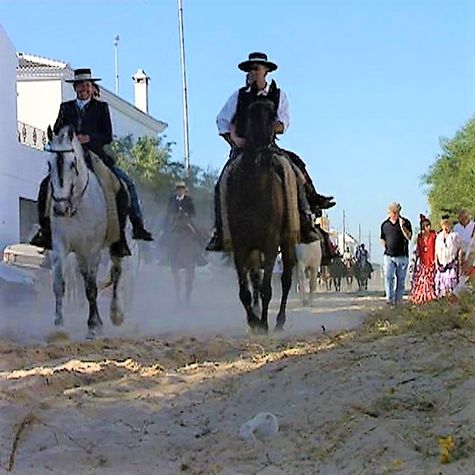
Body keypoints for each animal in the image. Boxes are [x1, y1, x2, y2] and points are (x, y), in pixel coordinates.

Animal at [46, 123, 124, 338]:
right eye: (49, 165)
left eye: (73, 164)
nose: (59, 208)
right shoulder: (60, 246)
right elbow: (59, 284)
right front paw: (58, 324)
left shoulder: (93, 250)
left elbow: (91, 288)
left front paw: (92, 326)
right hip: (79, 253)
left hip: (114, 247)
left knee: (115, 274)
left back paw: (115, 314)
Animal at [226, 99, 296, 332]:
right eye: (249, 115)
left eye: (274, 116)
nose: (264, 150)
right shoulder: (240, 245)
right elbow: (244, 291)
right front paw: (253, 320)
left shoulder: (271, 242)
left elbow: (267, 289)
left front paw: (263, 323)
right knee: (256, 280)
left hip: (287, 242)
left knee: (286, 279)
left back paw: (279, 321)